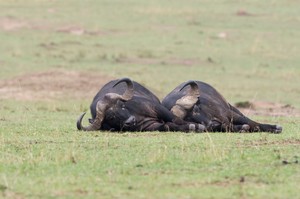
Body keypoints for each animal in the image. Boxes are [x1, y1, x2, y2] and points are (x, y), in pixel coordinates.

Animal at [77, 77, 206, 132]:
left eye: (122, 106)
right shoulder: (150, 126)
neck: (138, 117)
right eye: (110, 117)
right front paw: (193, 127)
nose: (130, 121)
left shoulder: (157, 108)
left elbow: (175, 119)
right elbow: (167, 126)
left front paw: (198, 125)